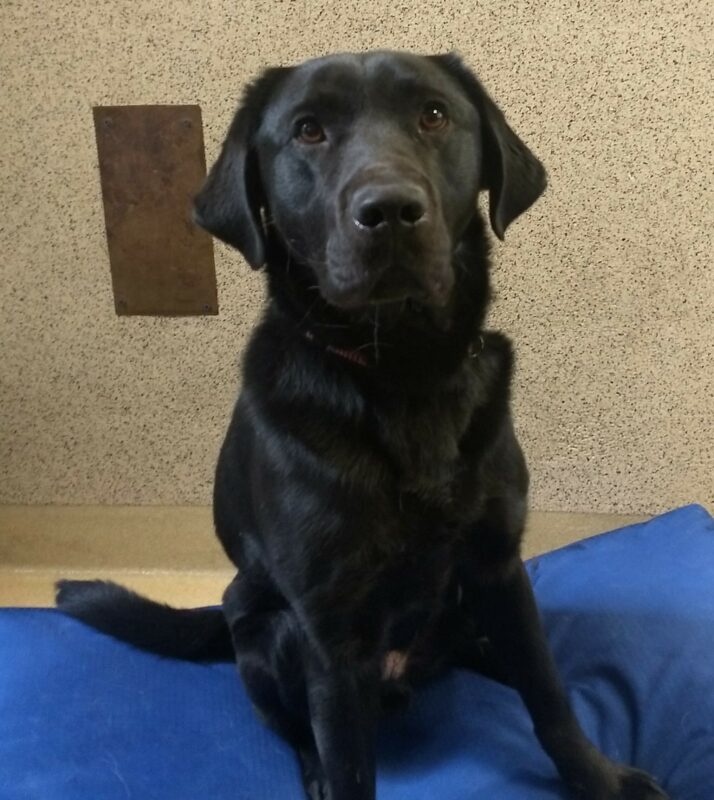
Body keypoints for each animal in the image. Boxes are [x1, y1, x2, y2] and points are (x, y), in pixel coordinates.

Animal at [57, 51, 668, 800]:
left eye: (433, 114)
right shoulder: (332, 628)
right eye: (307, 130)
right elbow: (349, 760)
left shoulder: (497, 562)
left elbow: (549, 696)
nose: (391, 212)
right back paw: (314, 765)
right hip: (262, 623)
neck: (405, 374)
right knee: (295, 724)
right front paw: (333, 769)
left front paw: (602, 779)